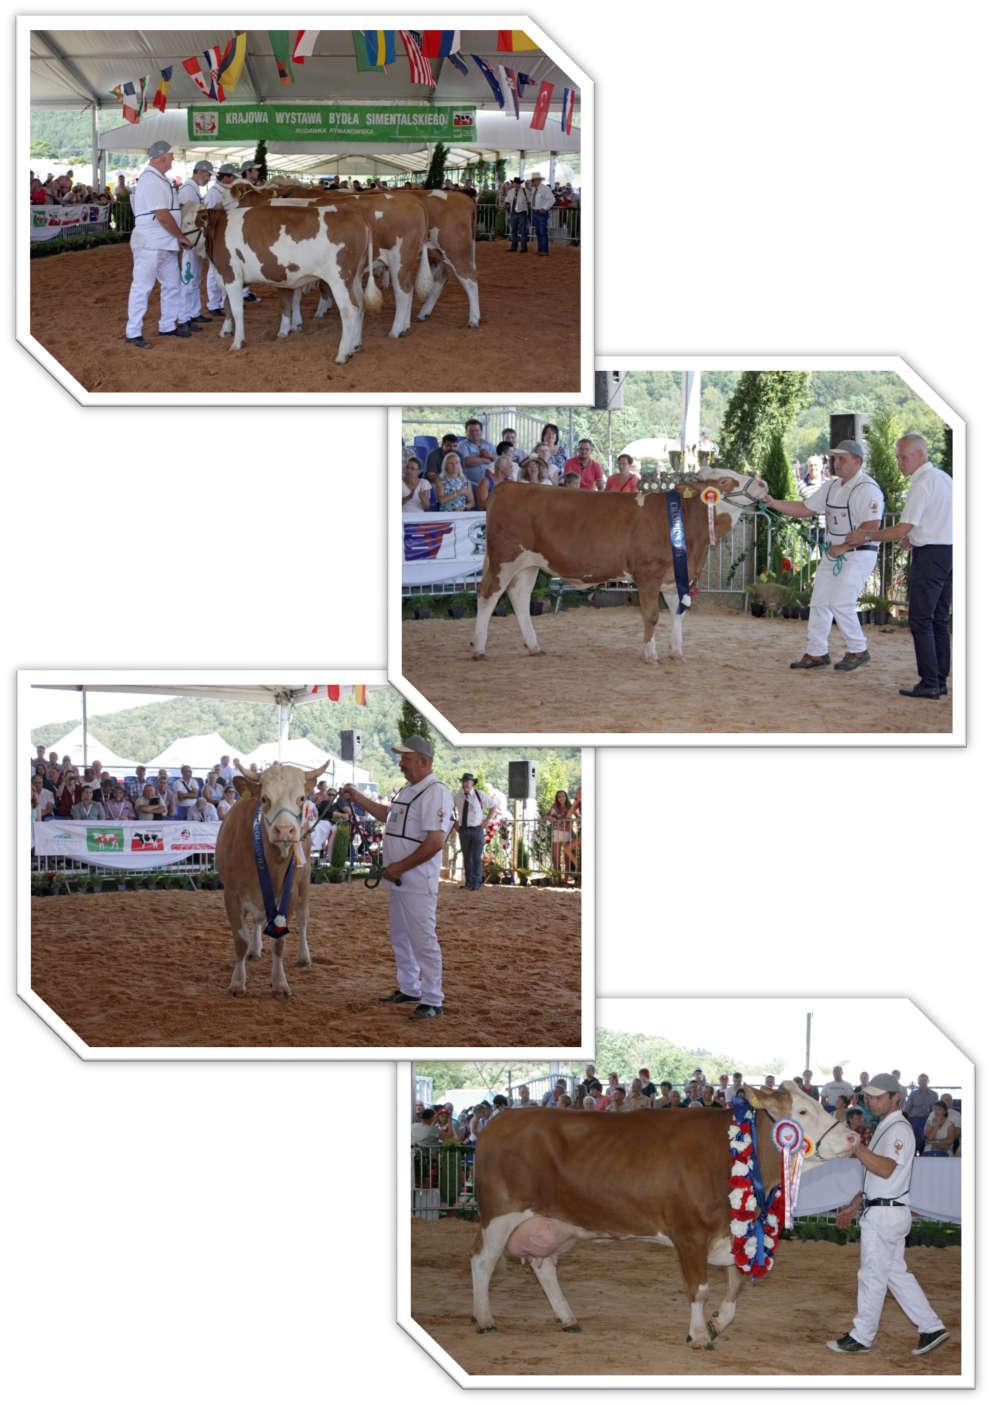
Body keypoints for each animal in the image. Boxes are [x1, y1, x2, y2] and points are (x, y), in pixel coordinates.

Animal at [175, 200, 365, 362]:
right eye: (181, 220)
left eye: (189, 222)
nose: (181, 243)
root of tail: (351, 214)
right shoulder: (226, 277)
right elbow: (227, 305)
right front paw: (226, 330)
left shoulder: (231, 275)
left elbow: (237, 310)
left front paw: (237, 342)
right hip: (354, 279)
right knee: (360, 306)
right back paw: (355, 346)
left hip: (339, 279)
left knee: (349, 310)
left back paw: (342, 354)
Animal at [215, 764, 326, 994]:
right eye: (265, 799)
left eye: (301, 798)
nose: (284, 830)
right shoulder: (231, 894)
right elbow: (241, 940)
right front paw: (237, 982)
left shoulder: (289, 894)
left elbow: (279, 942)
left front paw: (280, 983)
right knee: (257, 922)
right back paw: (255, 950)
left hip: (305, 881)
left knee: (303, 919)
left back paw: (304, 956)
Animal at [466, 1079, 854, 1343]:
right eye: (802, 1112)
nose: (852, 1138)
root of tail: (499, 1121)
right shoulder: (690, 1233)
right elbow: (699, 1288)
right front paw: (699, 1335)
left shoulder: (731, 1231)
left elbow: (736, 1284)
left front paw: (717, 1322)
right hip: (500, 1213)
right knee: (482, 1261)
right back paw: (484, 1319)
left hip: (553, 1222)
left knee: (544, 1266)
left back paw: (567, 1317)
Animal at [475, 472, 770, 663]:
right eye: (723, 481)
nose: (763, 482)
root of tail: (509, 485)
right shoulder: (648, 573)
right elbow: (652, 615)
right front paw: (650, 654)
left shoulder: (675, 576)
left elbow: (678, 614)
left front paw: (677, 652)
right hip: (505, 558)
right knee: (487, 594)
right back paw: (479, 648)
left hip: (529, 564)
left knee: (519, 597)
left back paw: (534, 646)